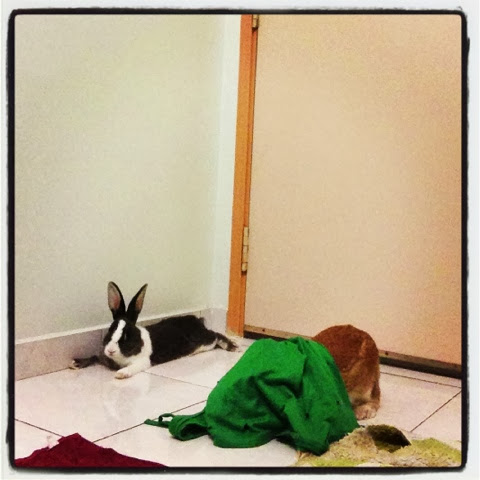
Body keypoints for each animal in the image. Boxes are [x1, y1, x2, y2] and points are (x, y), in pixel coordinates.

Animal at [70, 282, 238, 379]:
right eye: (110, 330)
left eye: (126, 336)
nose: (110, 350)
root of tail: (198, 321)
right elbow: (94, 356)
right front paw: (76, 363)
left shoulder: (143, 361)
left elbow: (133, 367)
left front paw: (121, 374)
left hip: (206, 342)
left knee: (216, 335)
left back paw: (233, 346)